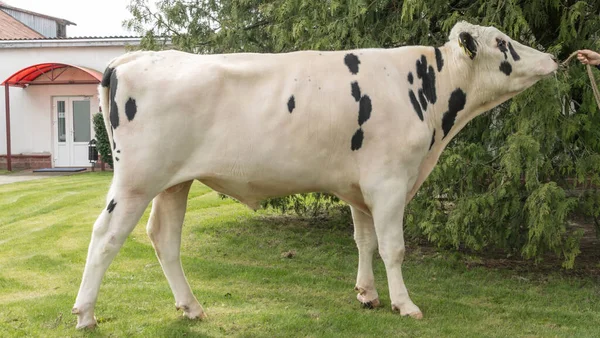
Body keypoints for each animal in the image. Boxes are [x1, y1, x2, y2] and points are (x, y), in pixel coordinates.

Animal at [71, 20, 556, 328]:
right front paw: (404, 304)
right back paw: (86, 314)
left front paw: (368, 295)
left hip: (174, 182)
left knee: (164, 238)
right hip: (137, 178)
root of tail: (132, 58)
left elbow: (365, 241)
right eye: (503, 42)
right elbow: (394, 248)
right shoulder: (389, 181)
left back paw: (191, 307)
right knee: (105, 235)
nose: (552, 57)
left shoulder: (360, 185)